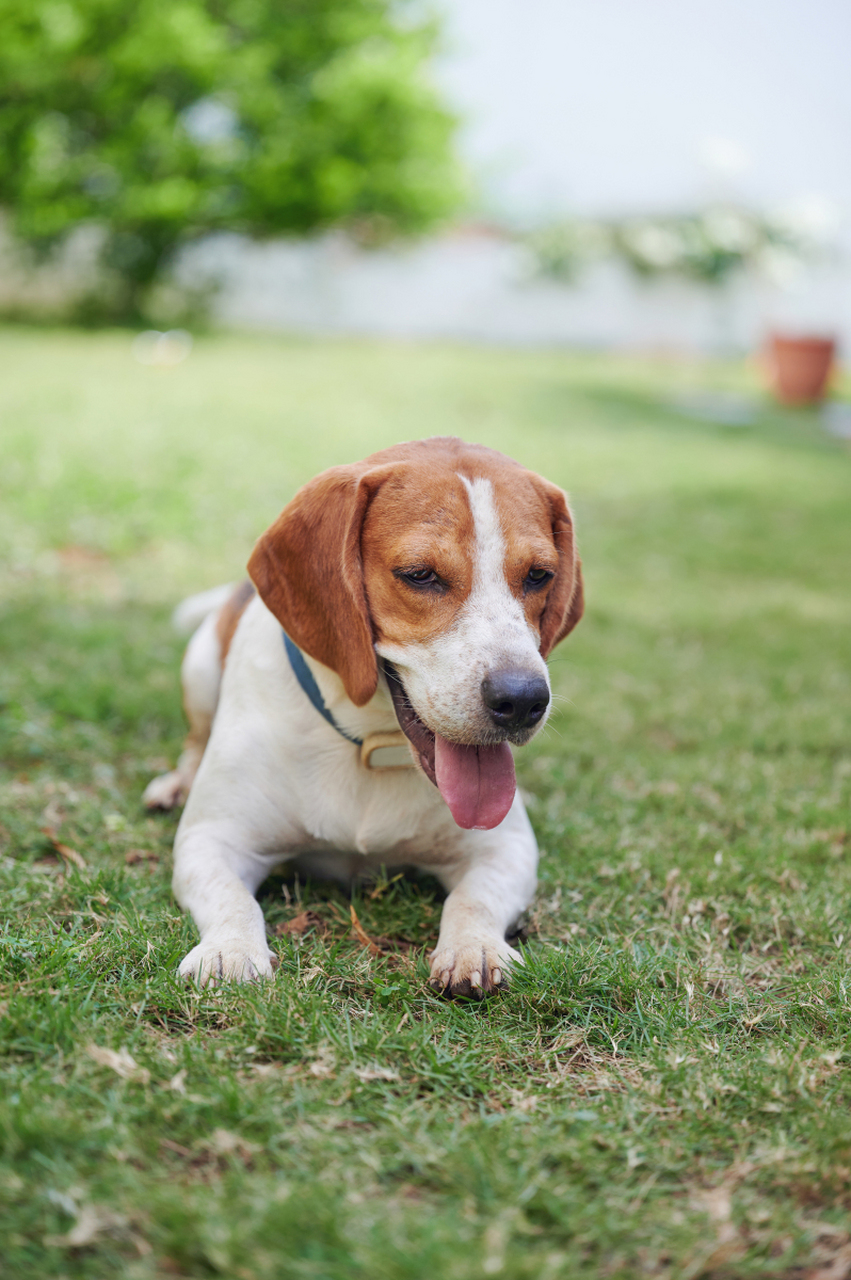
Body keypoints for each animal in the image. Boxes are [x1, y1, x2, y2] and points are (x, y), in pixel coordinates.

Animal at [147, 435, 583, 993]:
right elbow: (234, 900)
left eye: (539, 576)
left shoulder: (506, 851)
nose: (524, 699)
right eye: (420, 575)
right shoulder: (212, 840)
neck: (369, 743)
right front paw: (231, 950)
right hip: (199, 672)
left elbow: (473, 901)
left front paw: (475, 946)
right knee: (193, 743)